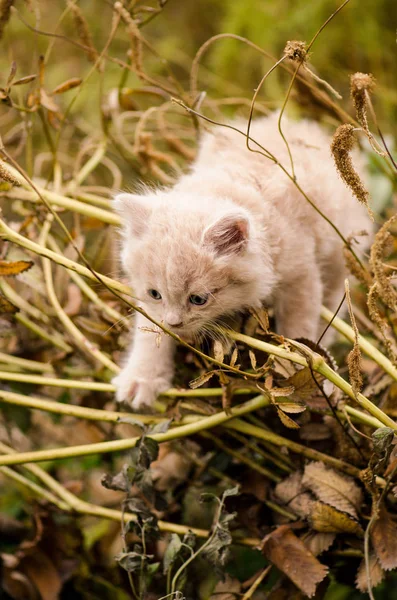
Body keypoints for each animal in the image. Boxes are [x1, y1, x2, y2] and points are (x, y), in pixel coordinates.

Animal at [112, 112, 372, 410]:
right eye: (155, 294)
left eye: (198, 299)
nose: (175, 323)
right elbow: (150, 332)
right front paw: (141, 377)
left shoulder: (301, 275)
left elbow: (299, 328)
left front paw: (301, 373)